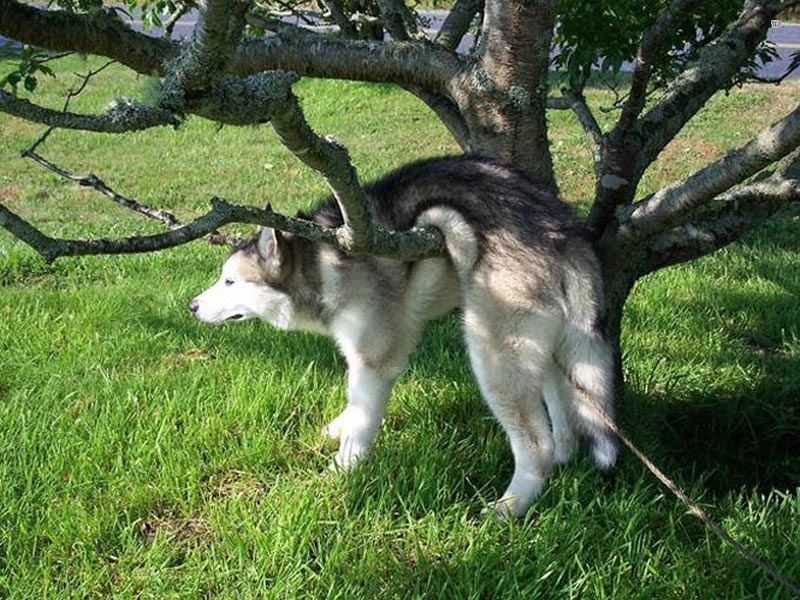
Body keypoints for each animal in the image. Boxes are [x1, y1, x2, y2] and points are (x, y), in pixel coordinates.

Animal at [189, 155, 620, 516]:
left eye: (230, 282)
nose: (192, 306)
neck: (323, 262)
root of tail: (562, 228)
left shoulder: (374, 358)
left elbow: (363, 417)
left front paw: (342, 469)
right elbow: (352, 405)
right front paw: (339, 428)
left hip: (493, 354)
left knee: (536, 443)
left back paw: (509, 507)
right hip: (546, 347)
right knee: (561, 406)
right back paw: (564, 456)